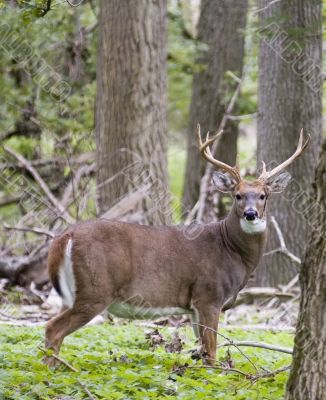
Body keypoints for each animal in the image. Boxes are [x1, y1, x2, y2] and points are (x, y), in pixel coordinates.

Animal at [44, 127, 310, 366]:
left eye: (264, 195)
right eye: (238, 195)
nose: (251, 214)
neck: (232, 251)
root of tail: (64, 235)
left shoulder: (194, 308)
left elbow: (202, 351)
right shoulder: (208, 295)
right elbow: (211, 353)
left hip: (74, 292)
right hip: (95, 289)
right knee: (52, 329)